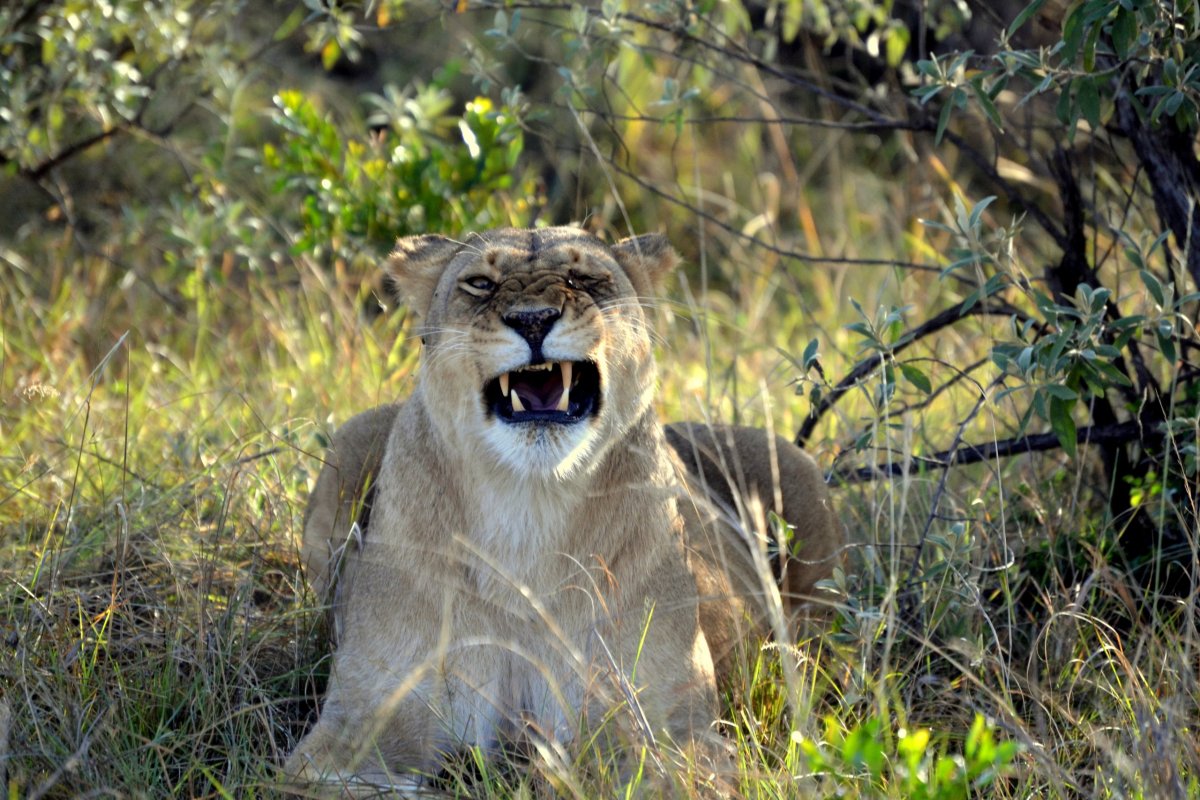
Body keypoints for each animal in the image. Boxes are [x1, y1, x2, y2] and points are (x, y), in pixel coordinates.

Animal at [285, 227, 842, 794]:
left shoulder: (680, 732)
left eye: (585, 278)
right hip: (349, 439)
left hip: (801, 483)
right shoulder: (353, 725)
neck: (527, 511)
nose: (533, 319)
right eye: (480, 283)